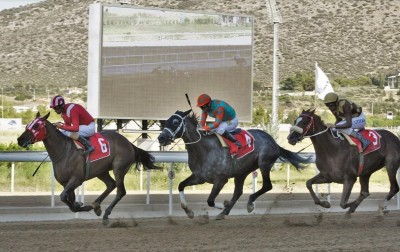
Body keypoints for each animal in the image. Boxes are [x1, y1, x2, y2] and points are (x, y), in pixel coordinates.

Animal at [17, 112, 161, 224]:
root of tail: (130, 144)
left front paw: (82, 206)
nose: (20, 139)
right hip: (101, 171)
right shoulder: (65, 183)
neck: (63, 151)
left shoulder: (76, 179)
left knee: (121, 191)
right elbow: (69, 201)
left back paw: (106, 214)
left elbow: (63, 197)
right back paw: (96, 206)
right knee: (111, 184)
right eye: (27, 125)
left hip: (119, 168)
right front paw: (80, 205)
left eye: (36, 126)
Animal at [156, 109, 310, 220]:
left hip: (264, 163)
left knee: (267, 185)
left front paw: (224, 204)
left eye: (175, 122)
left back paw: (248, 204)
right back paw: (225, 212)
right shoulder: (199, 177)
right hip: (242, 172)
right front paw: (189, 211)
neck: (204, 149)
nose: (161, 137)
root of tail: (273, 142)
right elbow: (180, 185)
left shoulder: (221, 179)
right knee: (238, 191)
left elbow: (210, 200)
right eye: (166, 121)